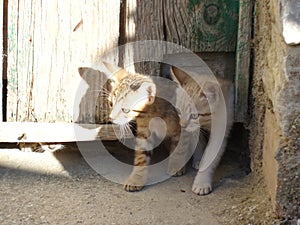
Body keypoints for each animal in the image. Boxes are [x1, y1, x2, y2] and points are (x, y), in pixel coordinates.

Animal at [169, 67, 234, 195]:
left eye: (194, 116)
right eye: (179, 111)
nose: (182, 125)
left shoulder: (220, 131)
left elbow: (210, 157)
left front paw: (201, 183)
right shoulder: (192, 129)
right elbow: (194, 143)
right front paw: (191, 160)